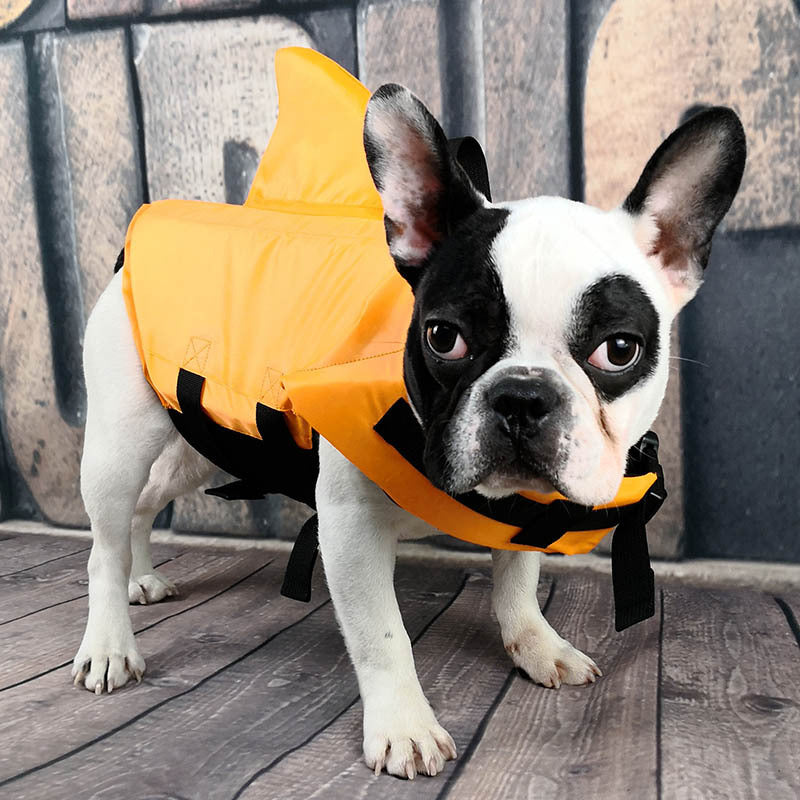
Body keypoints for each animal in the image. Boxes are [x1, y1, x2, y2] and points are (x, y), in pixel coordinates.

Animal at [72, 79, 748, 776]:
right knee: (104, 540)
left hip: (199, 446)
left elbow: (519, 586)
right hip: (121, 445)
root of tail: (126, 259)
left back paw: (139, 576)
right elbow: (383, 635)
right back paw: (109, 641)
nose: (523, 395)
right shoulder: (349, 526)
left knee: (142, 507)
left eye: (619, 350)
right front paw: (404, 725)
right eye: (443, 338)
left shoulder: (526, 515)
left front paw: (538, 645)